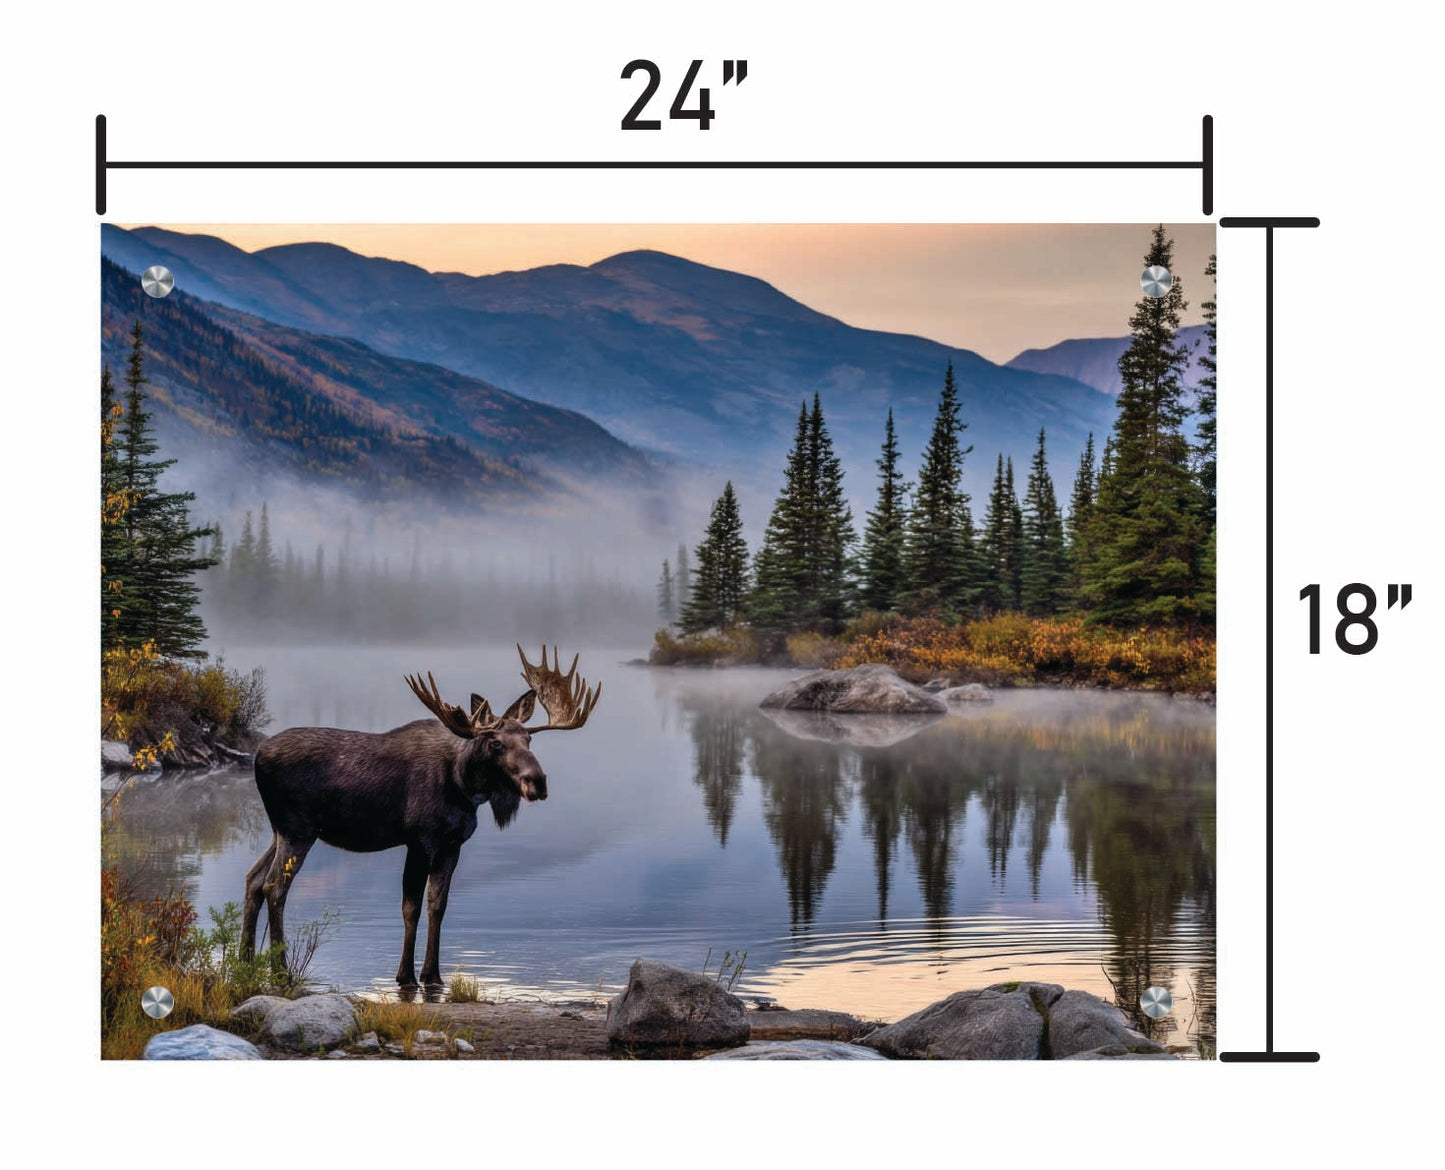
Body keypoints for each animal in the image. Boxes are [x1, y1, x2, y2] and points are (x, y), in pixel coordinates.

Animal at [241, 646, 601, 990]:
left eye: (529, 738)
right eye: (495, 742)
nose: (537, 781)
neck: (463, 786)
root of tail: (257, 756)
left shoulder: (452, 845)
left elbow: (437, 906)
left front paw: (433, 975)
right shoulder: (419, 840)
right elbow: (410, 907)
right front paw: (406, 976)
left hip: (280, 830)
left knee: (253, 879)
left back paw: (244, 963)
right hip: (297, 830)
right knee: (274, 887)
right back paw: (280, 974)